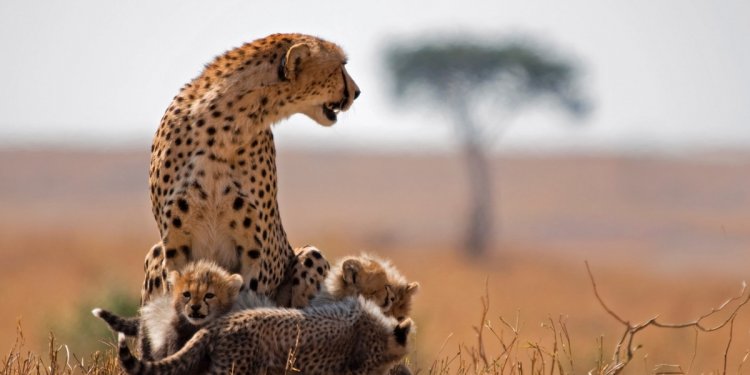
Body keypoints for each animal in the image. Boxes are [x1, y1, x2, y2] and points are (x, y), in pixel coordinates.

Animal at [145, 33, 364, 306]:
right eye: (340, 65)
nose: (357, 92)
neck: (225, 127)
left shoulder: (255, 253)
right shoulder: (174, 247)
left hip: (311, 255)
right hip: (155, 252)